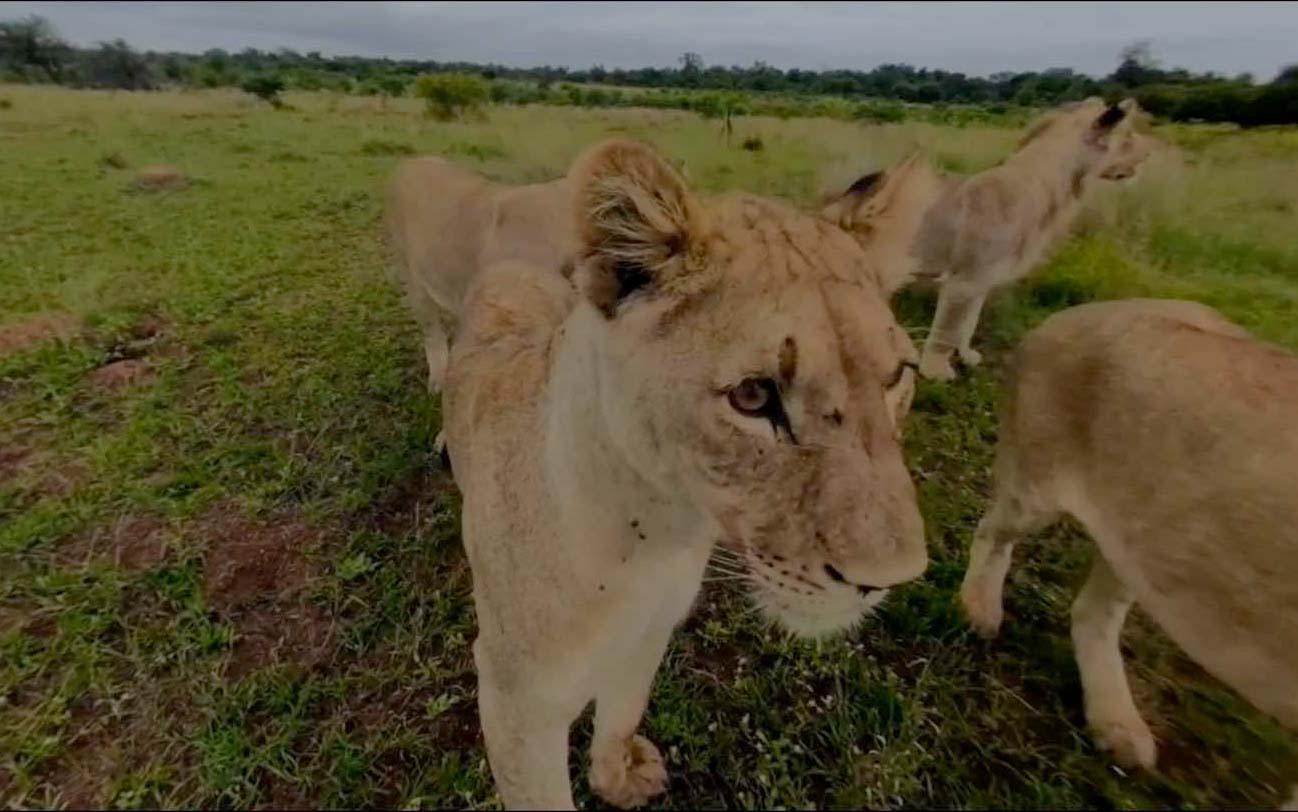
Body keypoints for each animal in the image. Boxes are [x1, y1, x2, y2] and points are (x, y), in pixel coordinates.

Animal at [442, 140, 929, 809]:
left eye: (898, 376)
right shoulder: (517, 701)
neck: (656, 535)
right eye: (753, 397)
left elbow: (623, 710)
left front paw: (618, 777)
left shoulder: (651, 633)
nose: (889, 580)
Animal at [848, 98, 1153, 381]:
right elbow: (947, 330)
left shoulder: (981, 280)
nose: (1150, 151)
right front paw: (936, 373)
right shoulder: (964, 280)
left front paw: (967, 356)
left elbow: (968, 323)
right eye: (1128, 135)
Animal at [959, 298, 1298, 799]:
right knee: (992, 532)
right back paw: (976, 611)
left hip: (1144, 545)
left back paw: (1120, 729)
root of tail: (1078, 312)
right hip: (1034, 488)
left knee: (1093, 613)